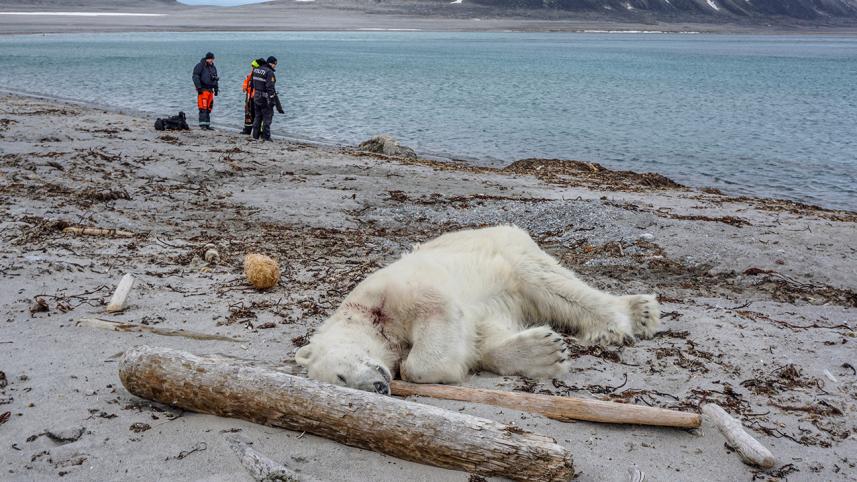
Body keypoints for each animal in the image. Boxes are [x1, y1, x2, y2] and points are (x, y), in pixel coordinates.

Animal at [295, 225, 660, 394]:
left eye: (340, 376)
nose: (379, 387)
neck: (366, 315)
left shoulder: (393, 292)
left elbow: (435, 318)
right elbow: (481, 337)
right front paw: (543, 351)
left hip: (509, 252)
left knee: (552, 285)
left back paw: (626, 318)